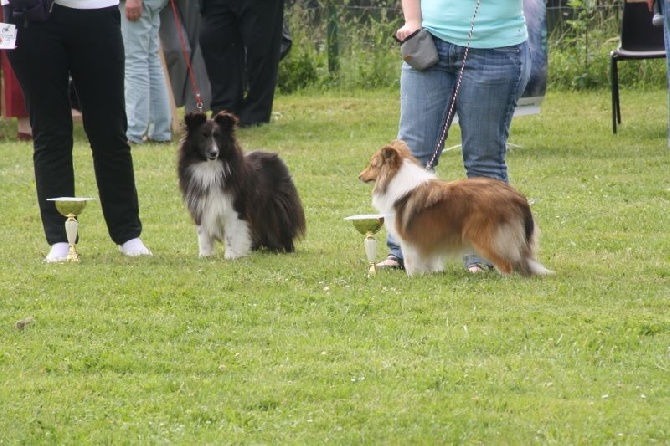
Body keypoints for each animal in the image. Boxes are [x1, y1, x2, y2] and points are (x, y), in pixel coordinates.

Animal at [177, 110, 306, 258]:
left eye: (218, 137)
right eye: (203, 137)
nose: (214, 153)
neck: (210, 167)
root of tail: (275, 156)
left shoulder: (234, 206)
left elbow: (231, 234)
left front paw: (231, 256)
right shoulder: (201, 205)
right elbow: (203, 233)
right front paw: (204, 255)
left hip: (278, 206)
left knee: (283, 225)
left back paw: (288, 248)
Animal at [360, 141, 552, 278]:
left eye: (372, 165)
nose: (359, 176)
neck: (395, 179)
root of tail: (518, 197)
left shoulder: (409, 239)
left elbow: (410, 260)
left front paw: (412, 277)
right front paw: (430, 273)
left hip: (486, 237)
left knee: (507, 264)